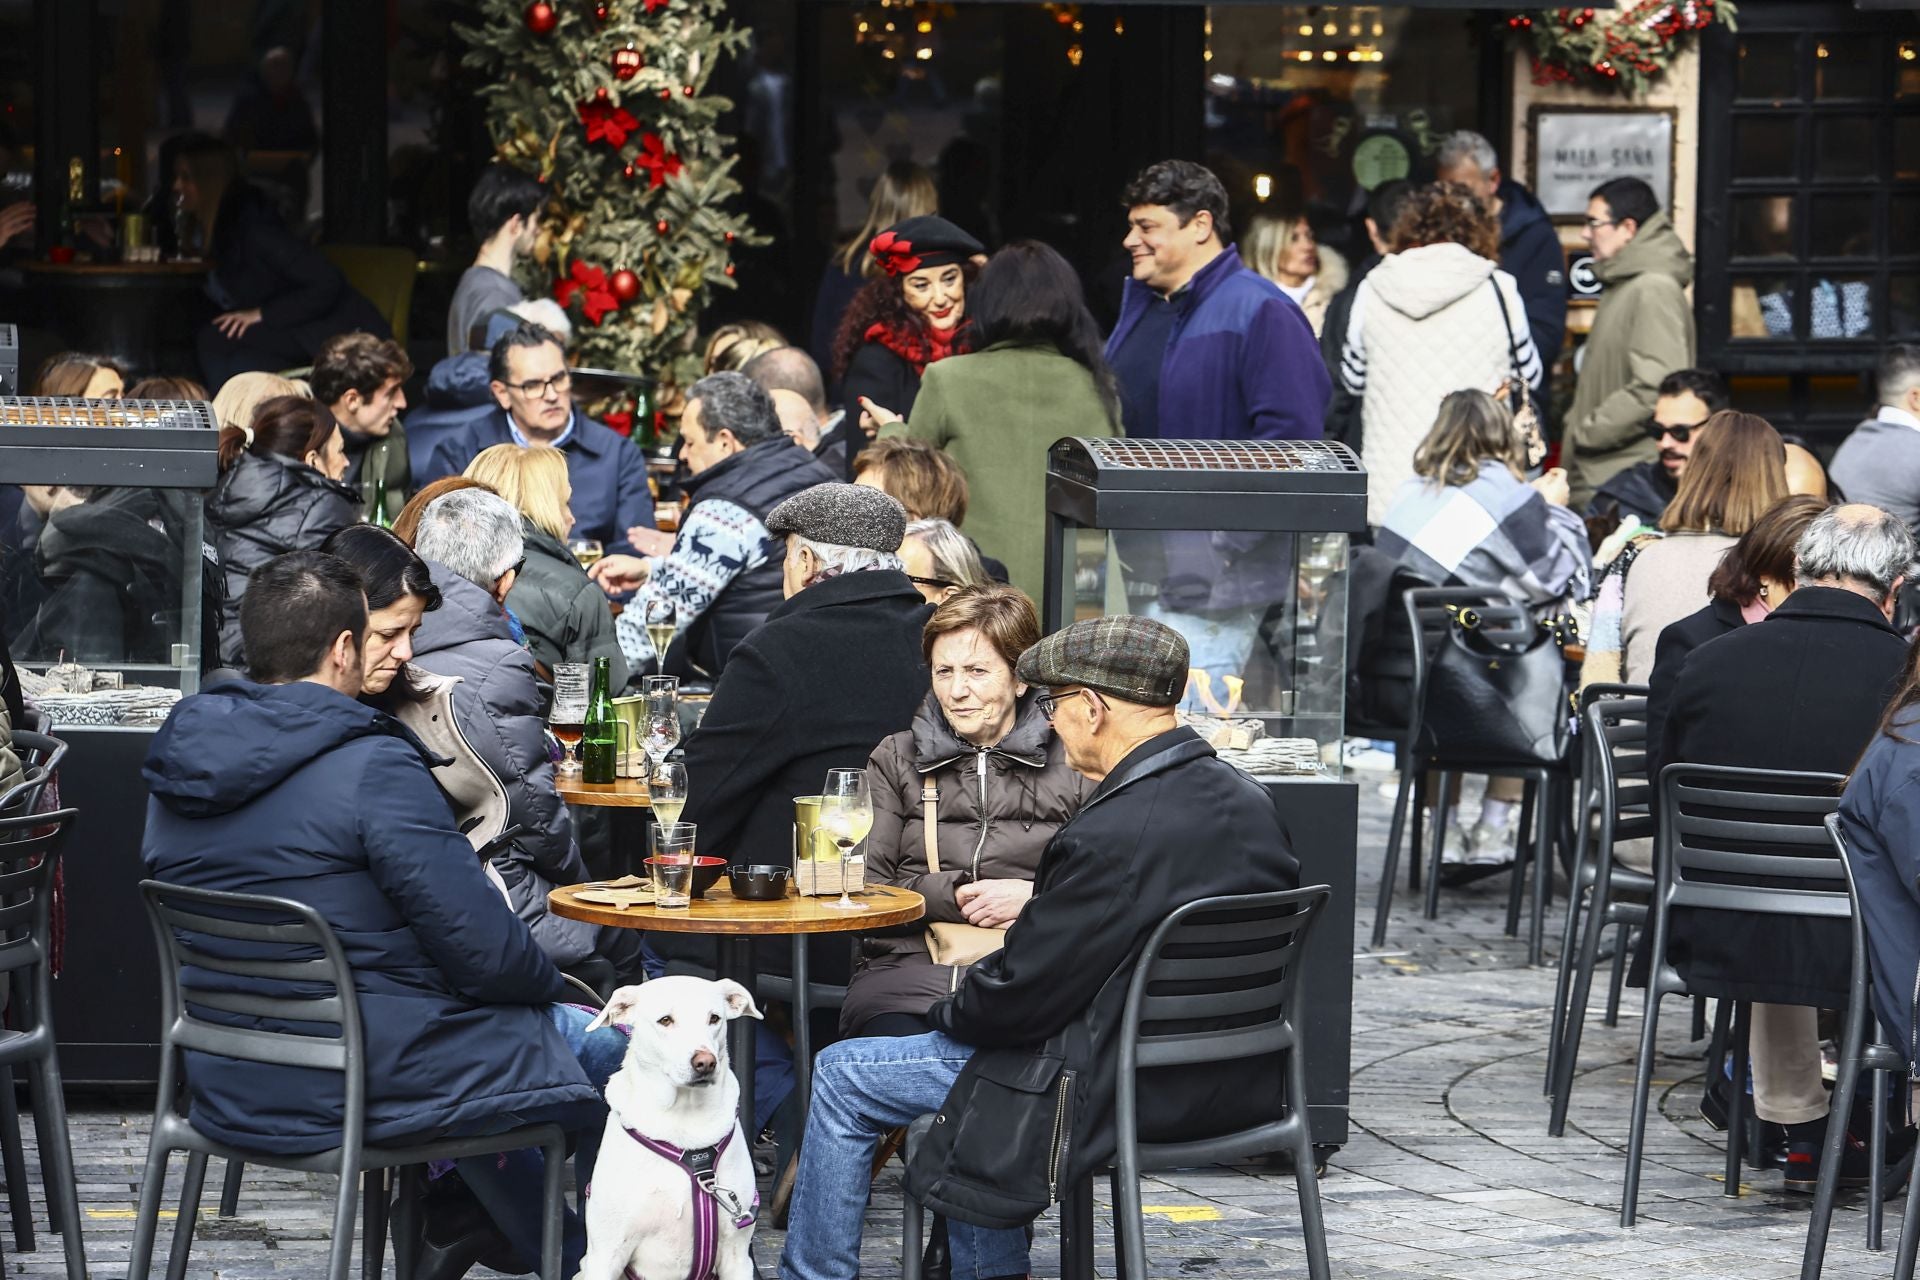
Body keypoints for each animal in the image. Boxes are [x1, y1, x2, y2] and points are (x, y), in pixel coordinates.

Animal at [576, 982, 764, 1280]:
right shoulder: (605, 1255)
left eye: (714, 1018)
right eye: (665, 1020)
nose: (705, 1062)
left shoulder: (737, 1256)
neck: (683, 1121)